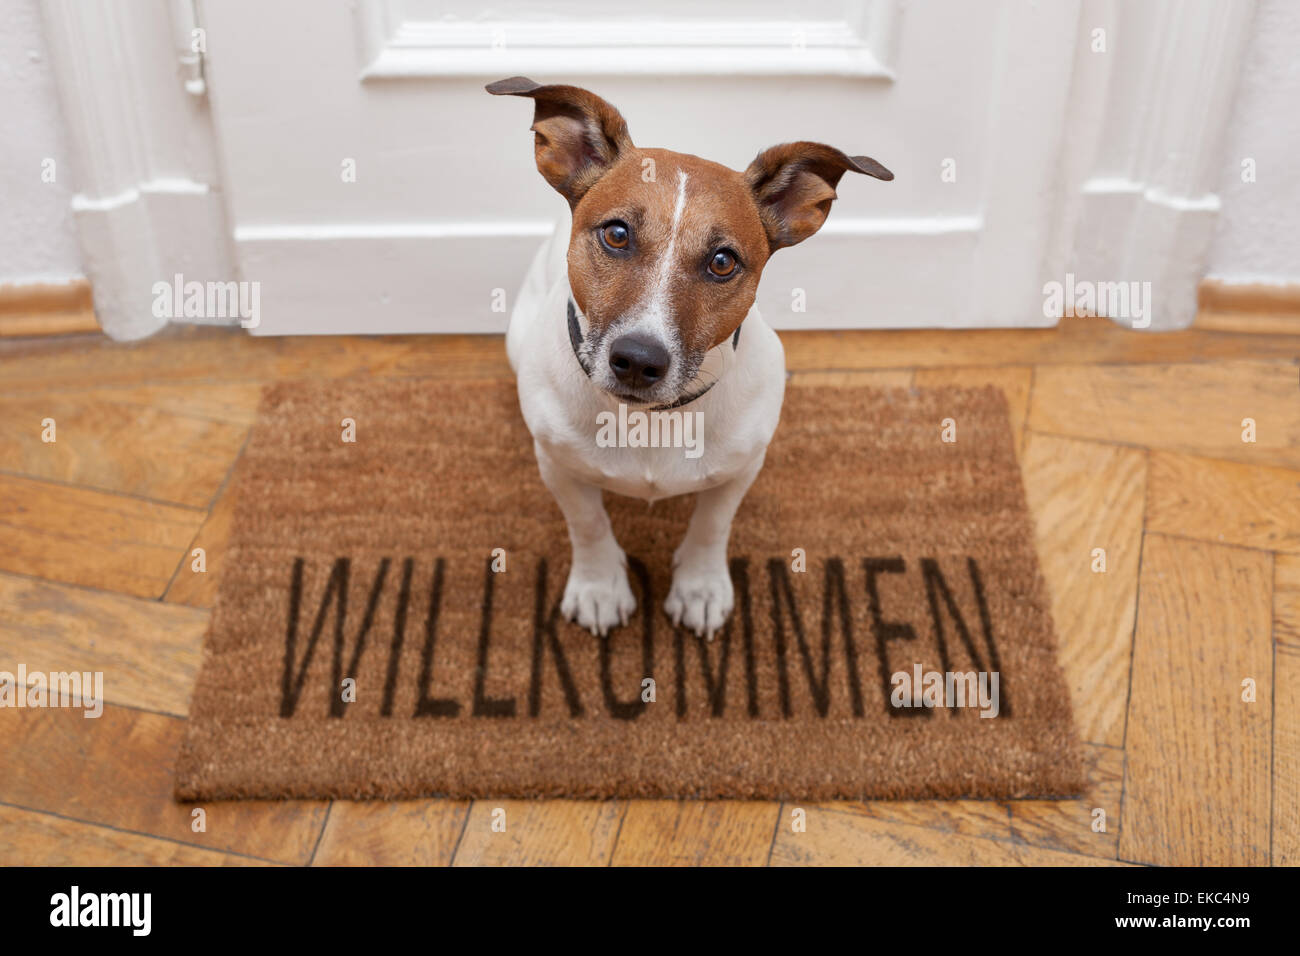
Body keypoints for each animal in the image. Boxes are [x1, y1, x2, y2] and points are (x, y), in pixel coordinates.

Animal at [488, 76, 894, 642]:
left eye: (723, 261)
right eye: (616, 234)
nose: (638, 360)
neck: (649, 421)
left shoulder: (741, 469)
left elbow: (711, 526)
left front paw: (700, 588)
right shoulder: (559, 466)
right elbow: (587, 524)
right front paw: (598, 586)